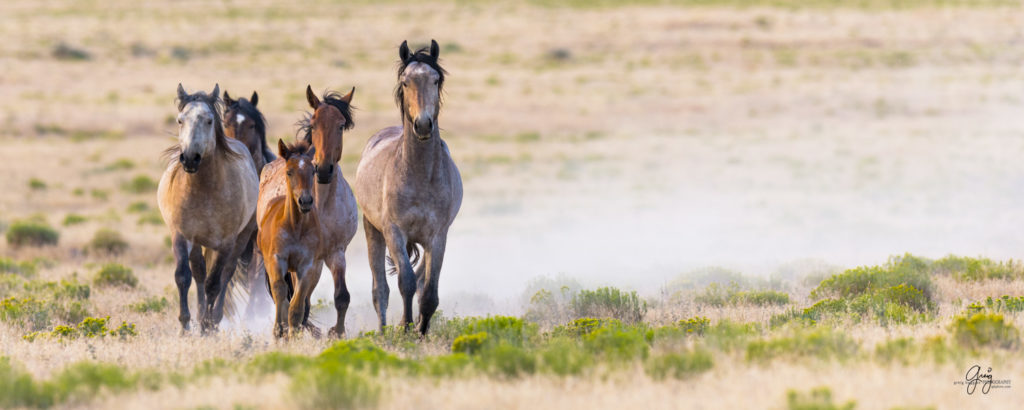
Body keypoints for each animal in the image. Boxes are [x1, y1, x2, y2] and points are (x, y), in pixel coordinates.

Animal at [157, 84, 260, 332]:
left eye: (210, 120)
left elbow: (215, 283)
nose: (190, 158)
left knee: (225, 275)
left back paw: (214, 319)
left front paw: (207, 325)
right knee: (199, 273)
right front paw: (185, 325)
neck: (203, 191)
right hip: (198, 243)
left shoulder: (226, 243)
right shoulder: (181, 235)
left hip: (240, 239)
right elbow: (184, 277)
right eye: (180, 120)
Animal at [256, 139, 319, 338]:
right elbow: (280, 294)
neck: (295, 228)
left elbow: (296, 306)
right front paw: (279, 332)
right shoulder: (277, 260)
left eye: (313, 171)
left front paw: (293, 336)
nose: (305, 201)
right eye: (289, 171)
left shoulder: (306, 266)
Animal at [354, 40, 462, 336]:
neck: (420, 176)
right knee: (380, 288)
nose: (423, 124)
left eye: (436, 80)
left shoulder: (438, 236)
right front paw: (405, 328)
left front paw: (421, 332)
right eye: (405, 82)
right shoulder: (395, 233)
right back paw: (382, 331)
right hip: (373, 231)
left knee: (422, 278)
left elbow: (429, 292)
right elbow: (406, 282)